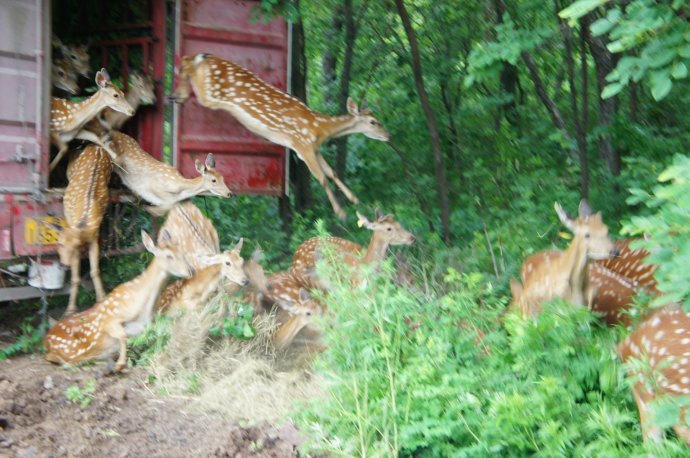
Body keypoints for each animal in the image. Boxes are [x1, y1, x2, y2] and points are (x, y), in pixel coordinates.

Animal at [44, 230, 193, 372]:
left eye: (181, 252)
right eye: (169, 256)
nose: (190, 270)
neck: (142, 308)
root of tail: (46, 339)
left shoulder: (147, 326)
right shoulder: (109, 319)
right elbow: (123, 335)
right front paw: (120, 365)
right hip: (70, 348)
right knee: (63, 359)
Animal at [48, 146, 112, 317]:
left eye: (73, 248)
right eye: (59, 244)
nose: (63, 266)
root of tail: (96, 147)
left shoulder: (94, 239)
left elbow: (95, 271)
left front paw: (101, 298)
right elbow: (75, 278)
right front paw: (70, 310)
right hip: (71, 168)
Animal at [172, 53, 390, 219]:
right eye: (373, 122)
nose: (388, 136)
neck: (320, 128)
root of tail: (206, 58)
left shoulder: (314, 149)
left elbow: (332, 173)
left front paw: (354, 199)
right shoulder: (302, 146)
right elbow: (322, 178)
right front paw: (341, 212)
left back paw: (178, 94)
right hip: (209, 94)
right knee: (190, 69)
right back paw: (177, 94)